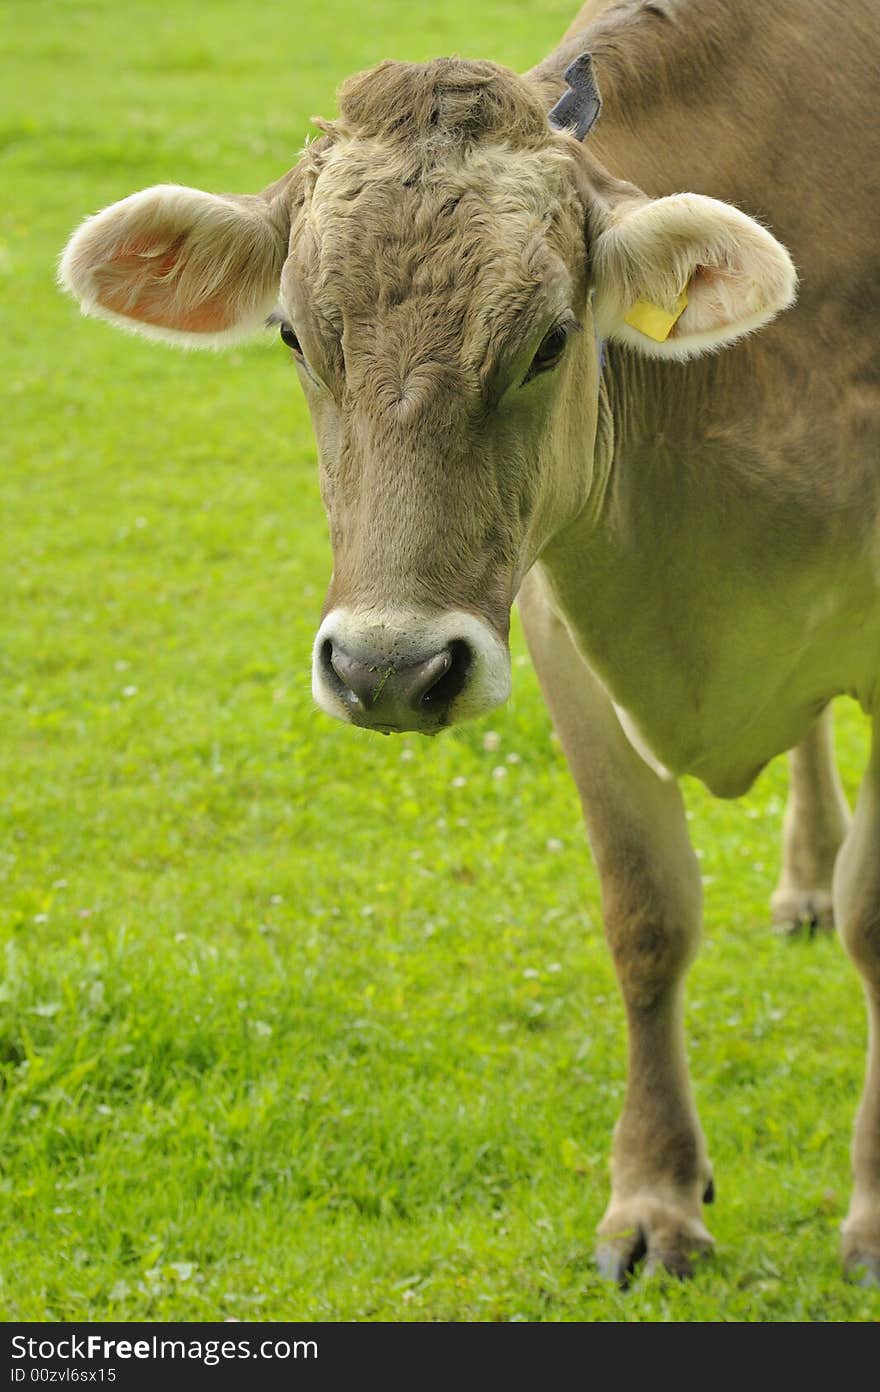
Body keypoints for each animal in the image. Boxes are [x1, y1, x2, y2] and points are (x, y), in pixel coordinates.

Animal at [60, 0, 880, 1280]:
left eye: (549, 339)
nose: (388, 668)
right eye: (295, 338)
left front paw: (872, 1214)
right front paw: (652, 1197)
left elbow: (874, 919)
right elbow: (644, 912)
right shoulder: (555, 621)